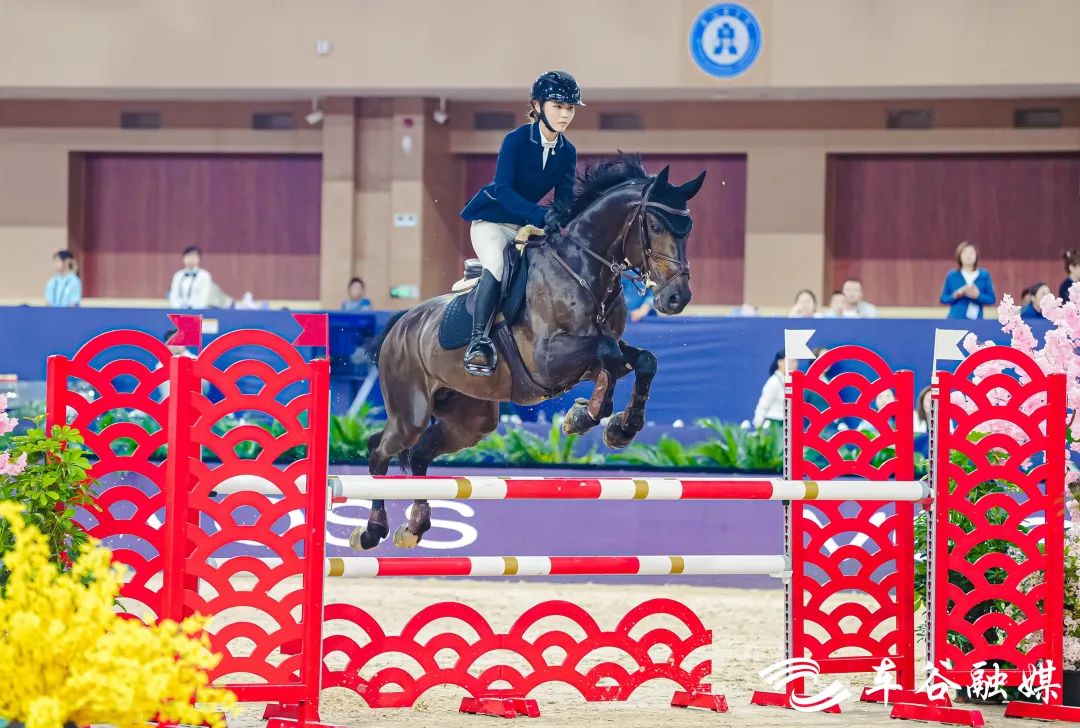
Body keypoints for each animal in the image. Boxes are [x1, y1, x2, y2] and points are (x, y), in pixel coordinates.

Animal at [351, 155, 706, 550]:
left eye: (688, 229)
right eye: (656, 226)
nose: (677, 298)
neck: (583, 270)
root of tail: (401, 323)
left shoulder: (585, 359)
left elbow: (642, 360)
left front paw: (618, 428)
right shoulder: (548, 360)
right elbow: (609, 353)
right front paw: (588, 415)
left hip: (470, 420)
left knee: (419, 453)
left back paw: (415, 526)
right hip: (410, 412)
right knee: (380, 451)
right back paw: (372, 530)